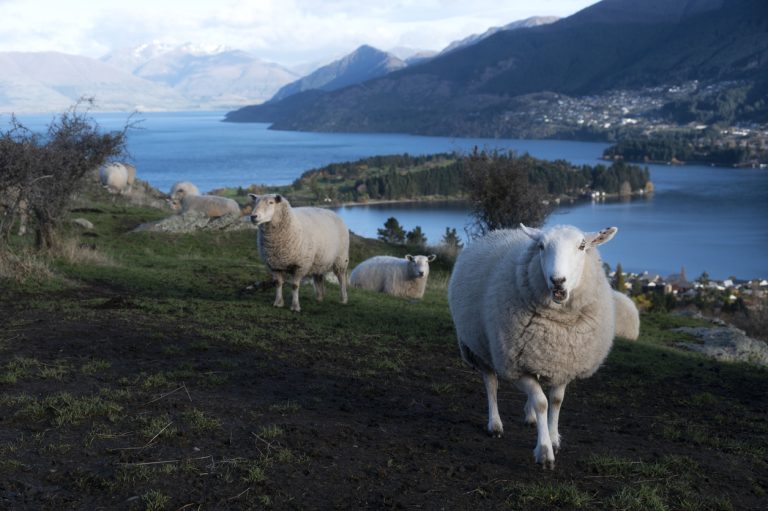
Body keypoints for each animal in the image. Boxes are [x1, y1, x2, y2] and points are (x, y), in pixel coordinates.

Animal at [450, 222, 616, 470]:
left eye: (582, 246)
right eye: (541, 246)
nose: (558, 281)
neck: (558, 325)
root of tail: (499, 231)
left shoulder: (564, 364)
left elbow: (556, 401)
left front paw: (553, 437)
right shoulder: (515, 366)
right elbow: (541, 403)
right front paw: (545, 451)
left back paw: (529, 418)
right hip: (480, 347)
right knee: (491, 384)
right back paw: (495, 424)